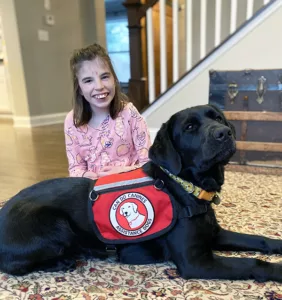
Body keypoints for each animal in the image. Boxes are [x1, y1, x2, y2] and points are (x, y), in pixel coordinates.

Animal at [0, 105, 282, 282]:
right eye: (190, 127)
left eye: (219, 118)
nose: (225, 132)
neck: (186, 187)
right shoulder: (196, 261)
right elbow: (253, 262)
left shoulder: (214, 235)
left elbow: (260, 241)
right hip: (57, 225)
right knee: (13, 266)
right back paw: (63, 262)